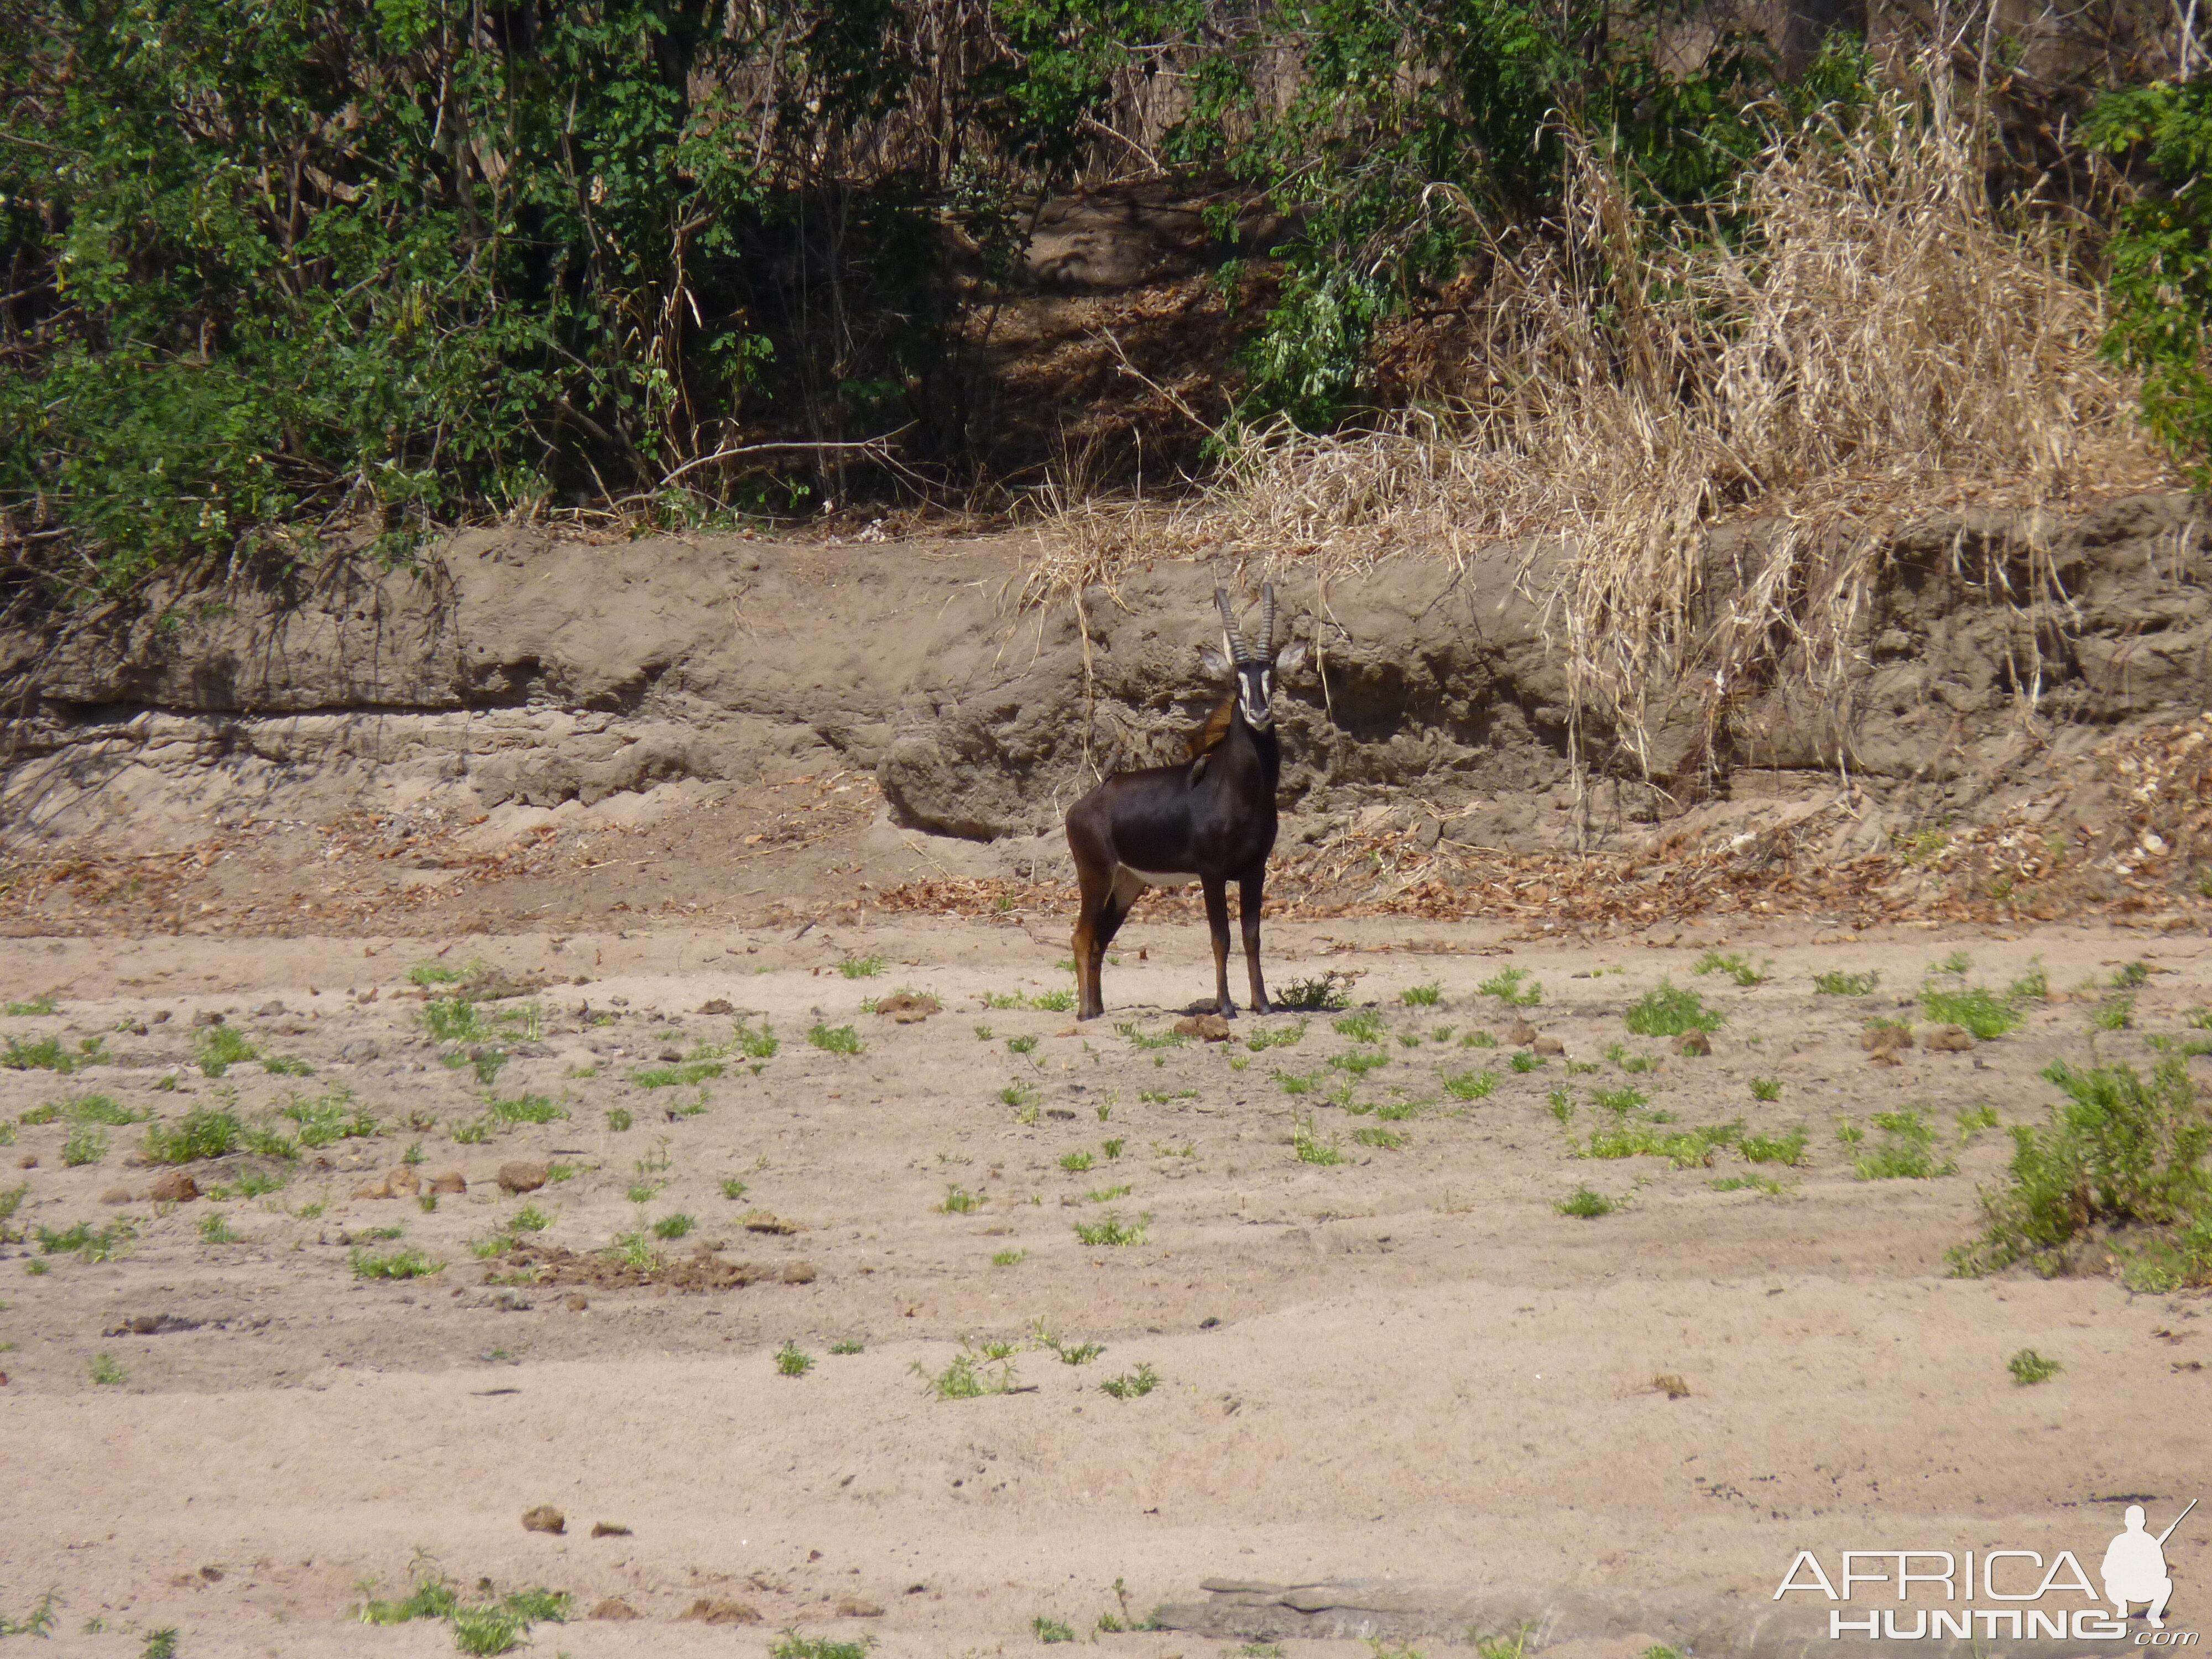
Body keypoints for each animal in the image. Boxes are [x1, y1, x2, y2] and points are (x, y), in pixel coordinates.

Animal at [1062, 584, 1301, 1026]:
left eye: (1271, 676)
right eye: (1237, 680)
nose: (1259, 712)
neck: (1237, 791)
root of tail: (1082, 806)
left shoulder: (1254, 871)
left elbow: (1252, 936)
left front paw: (1262, 1003)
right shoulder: (1212, 872)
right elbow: (1220, 937)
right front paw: (1226, 1007)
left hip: (1127, 884)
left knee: (1101, 939)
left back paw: (1099, 1008)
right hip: (1096, 875)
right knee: (1082, 935)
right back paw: (1086, 1014)